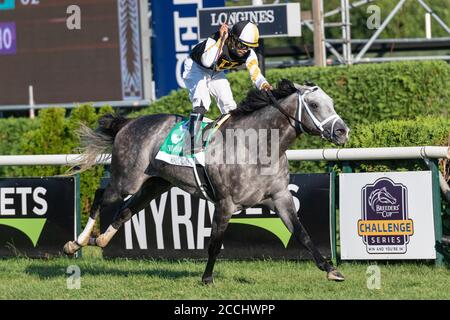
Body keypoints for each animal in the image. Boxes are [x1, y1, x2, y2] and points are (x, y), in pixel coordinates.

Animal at [64, 79, 352, 282]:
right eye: (314, 105)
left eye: (331, 102)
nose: (342, 131)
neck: (257, 146)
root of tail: (128, 122)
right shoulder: (225, 203)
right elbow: (214, 243)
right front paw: (207, 277)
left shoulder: (280, 198)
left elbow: (302, 234)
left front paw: (330, 269)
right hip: (128, 180)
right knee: (101, 197)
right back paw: (75, 243)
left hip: (155, 184)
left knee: (126, 210)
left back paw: (100, 240)